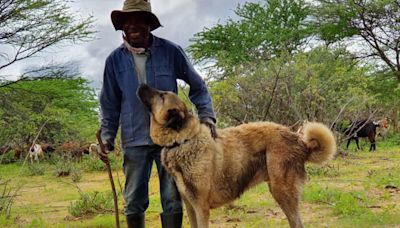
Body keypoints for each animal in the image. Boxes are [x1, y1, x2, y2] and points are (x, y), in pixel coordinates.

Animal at [138, 84, 338, 227]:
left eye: (162, 95)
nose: (141, 84)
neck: (183, 141)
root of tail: (299, 141)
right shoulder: (190, 205)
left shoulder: (201, 207)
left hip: (282, 191)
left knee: (297, 223)